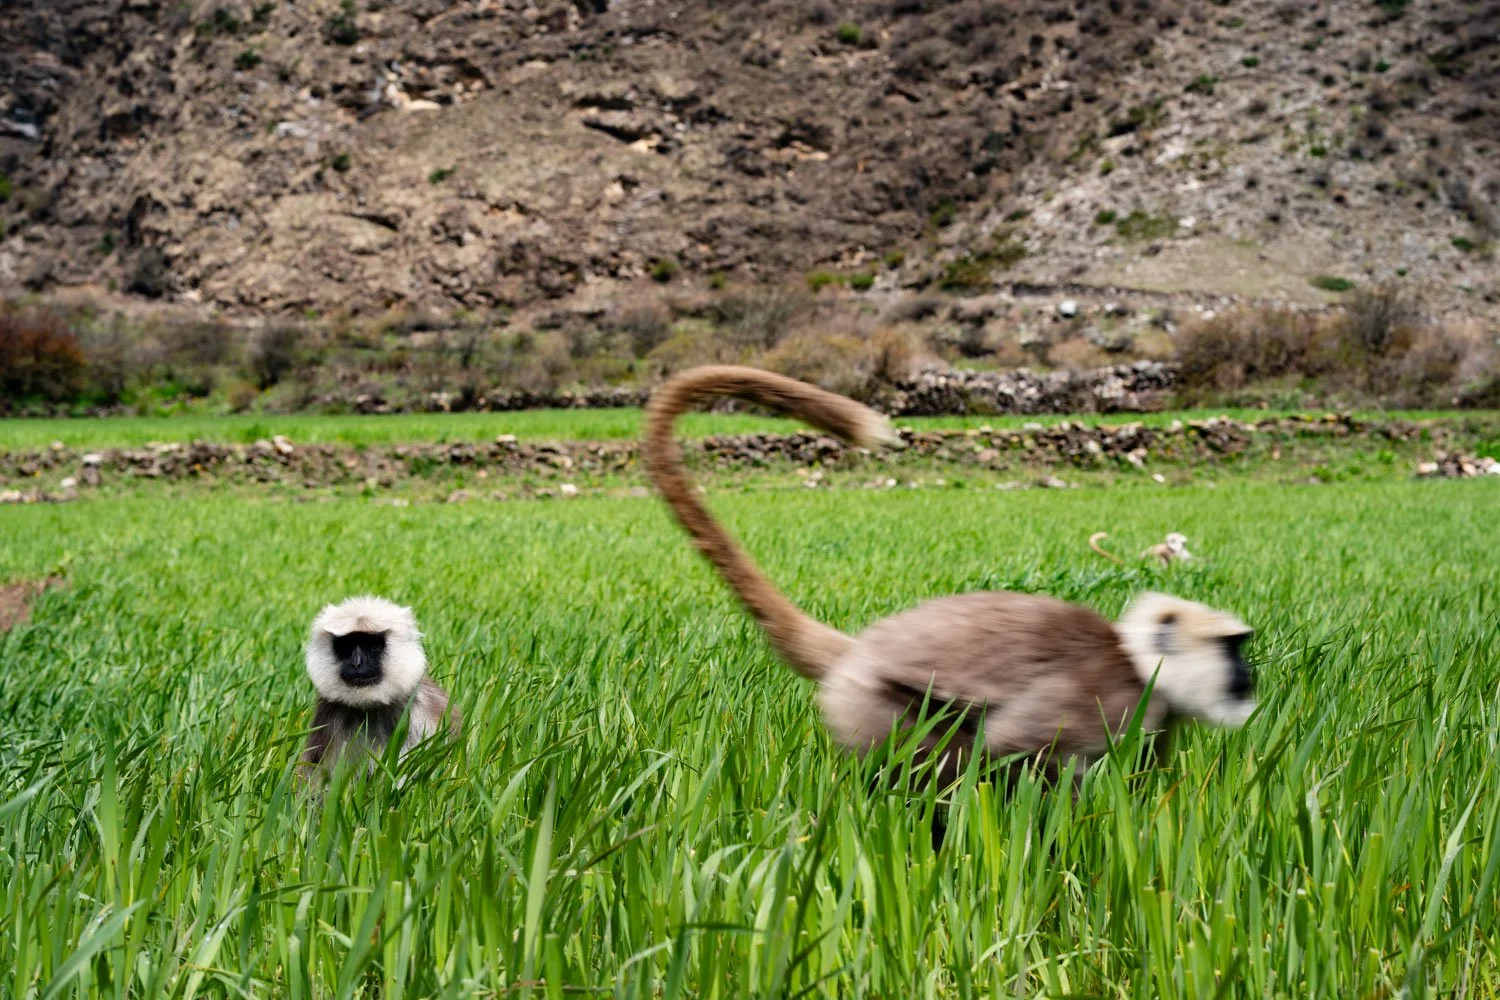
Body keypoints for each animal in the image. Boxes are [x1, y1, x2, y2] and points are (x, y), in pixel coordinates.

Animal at [643, 366, 1256, 789]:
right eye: (1231, 650)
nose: (1248, 679)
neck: (1135, 658)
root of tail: (858, 651)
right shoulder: (1109, 697)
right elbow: (1014, 747)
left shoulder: (1155, 719)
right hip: (871, 709)